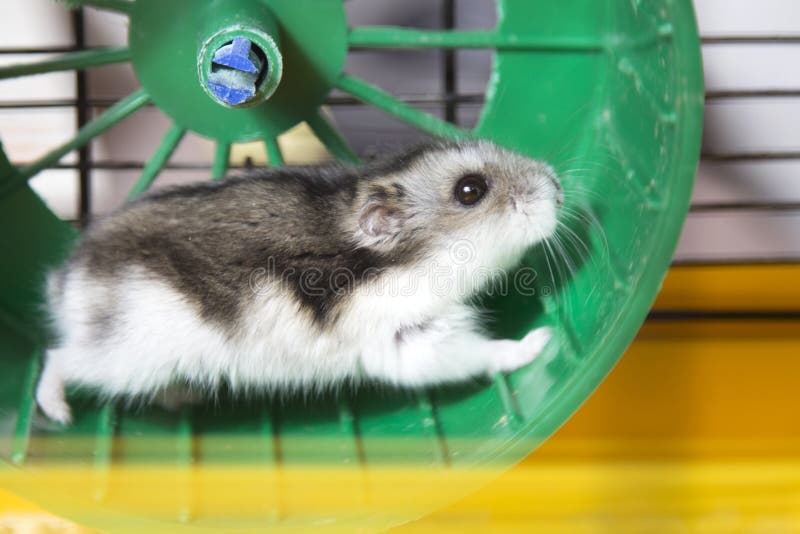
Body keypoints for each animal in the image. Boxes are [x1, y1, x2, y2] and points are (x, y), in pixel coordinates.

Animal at [35, 140, 562, 423]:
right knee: (56, 358)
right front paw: (542, 339)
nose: (558, 186)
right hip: (123, 358)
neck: (407, 261)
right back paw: (58, 414)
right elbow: (485, 352)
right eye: (470, 190)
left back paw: (187, 398)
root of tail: (65, 281)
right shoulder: (411, 341)